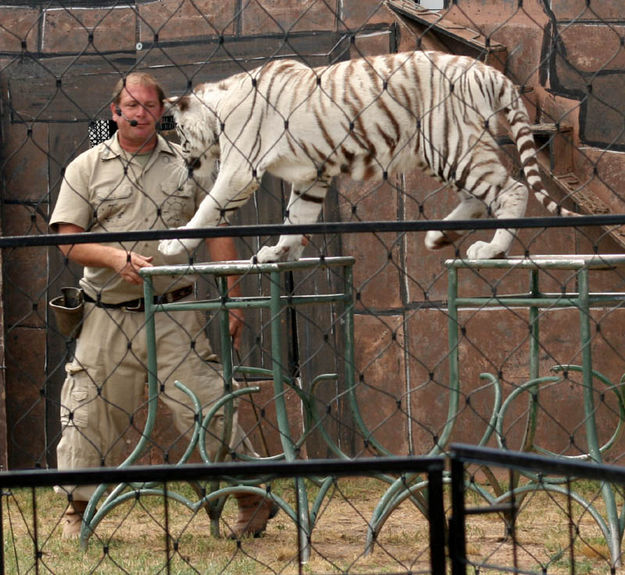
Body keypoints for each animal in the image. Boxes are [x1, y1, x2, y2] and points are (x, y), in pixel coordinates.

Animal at [157, 50, 576, 262]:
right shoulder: (312, 177)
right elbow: (296, 217)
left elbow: (208, 209)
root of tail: (488, 71)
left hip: (451, 143)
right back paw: (440, 236)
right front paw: (278, 251)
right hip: (442, 150)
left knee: (512, 190)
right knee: (477, 197)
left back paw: (491, 249)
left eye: (178, 132)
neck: (221, 104)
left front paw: (173, 245)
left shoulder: (240, 170)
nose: (181, 159)